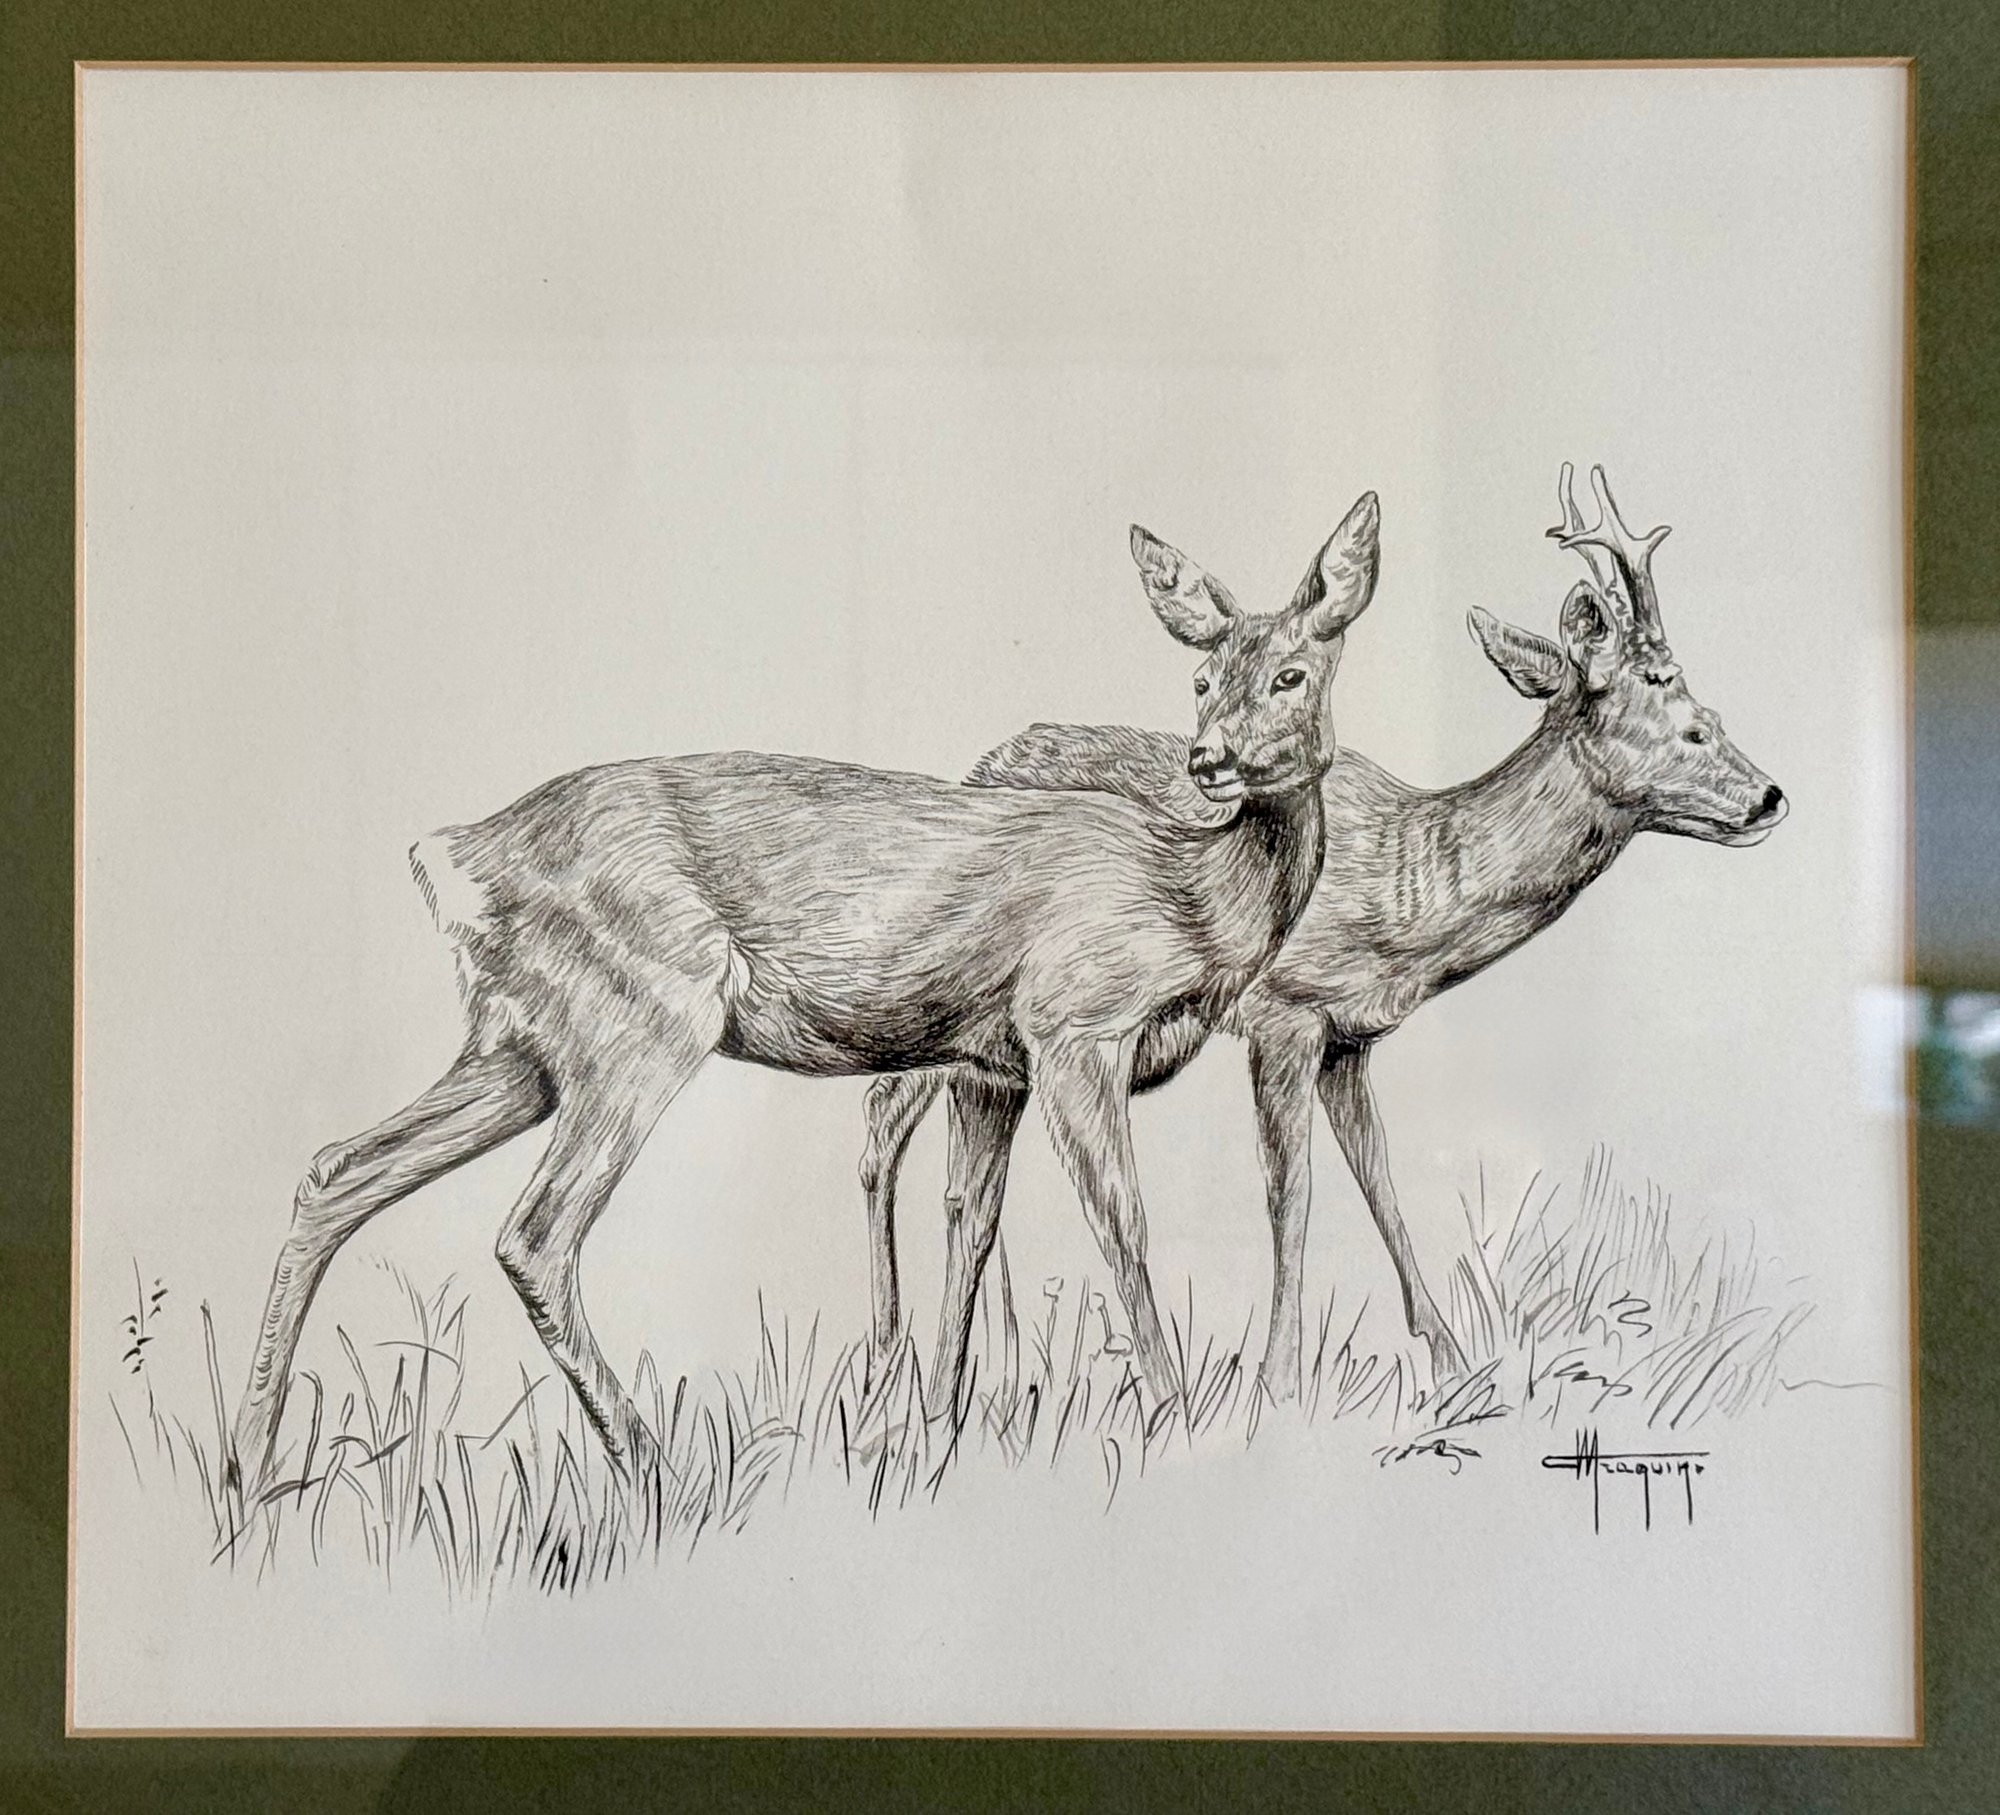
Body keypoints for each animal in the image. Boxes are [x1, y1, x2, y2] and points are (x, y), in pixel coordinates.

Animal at [228, 492, 1385, 1496]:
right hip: (643, 1013)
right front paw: (1175, 1418)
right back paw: (653, 1467)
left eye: (1291, 673)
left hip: (520, 1042)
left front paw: (937, 1429)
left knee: (339, 1169)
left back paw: (251, 1470)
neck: (1189, 901)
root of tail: (456, 858)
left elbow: (971, 1227)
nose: (1209, 761)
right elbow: (1121, 1222)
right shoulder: (1073, 1024)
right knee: (533, 1233)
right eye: (1199, 681)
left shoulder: (990, 1065)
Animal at [858, 465, 1787, 1399]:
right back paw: (896, 1354)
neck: (1411, 895)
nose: (1770, 795)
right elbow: (1290, 1192)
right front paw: (1279, 1378)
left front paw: (1450, 1356)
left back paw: (978, 1359)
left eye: (1709, 709)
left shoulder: (1351, 1037)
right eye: (1682, 719)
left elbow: (1380, 1178)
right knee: (886, 1119)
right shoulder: (1285, 1012)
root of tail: (982, 763)